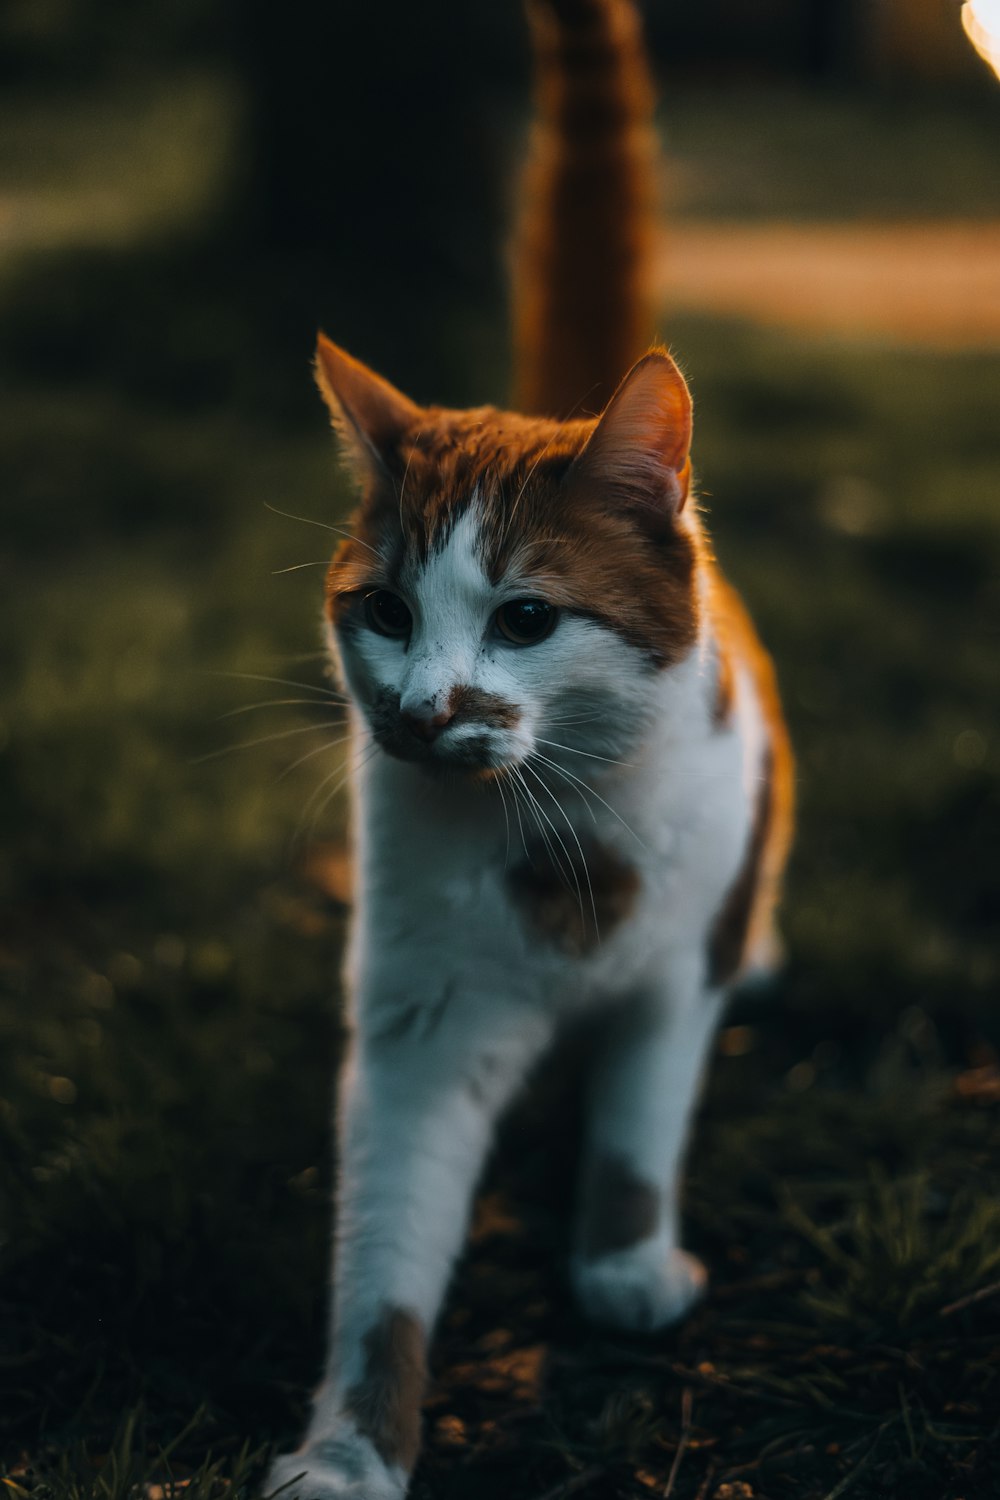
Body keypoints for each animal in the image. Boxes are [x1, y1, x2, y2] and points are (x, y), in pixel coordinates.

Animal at [263, 2, 791, 1500]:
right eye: (385, 612)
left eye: (527, 618)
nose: (418, 708)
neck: (557, 835)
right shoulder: (420, 1028)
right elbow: (383, 1256)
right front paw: (349, 1450)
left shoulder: (673, 975)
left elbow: (638, 1120)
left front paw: (622, 1262)